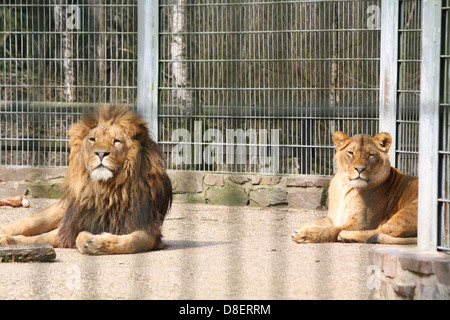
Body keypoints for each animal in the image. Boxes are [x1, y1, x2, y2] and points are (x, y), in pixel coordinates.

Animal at [0, 105, 173, 255]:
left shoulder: (149, 230)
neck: (108, 189)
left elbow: (132, 242)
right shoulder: (69, 227)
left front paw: (96, 242)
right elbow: (39, 238)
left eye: (117, 141)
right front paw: (9, 241)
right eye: (92, 139)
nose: (101, 153)